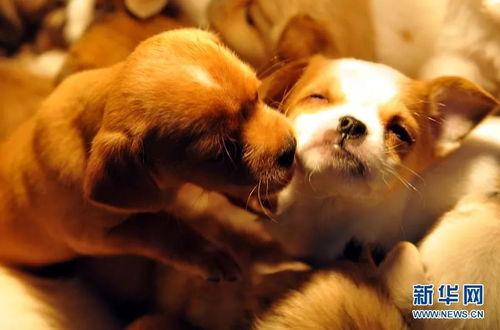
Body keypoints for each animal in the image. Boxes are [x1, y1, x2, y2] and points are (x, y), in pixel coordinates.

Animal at [0, 27, 296, 282]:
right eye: (223, 150)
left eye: (256, 94)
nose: (290, 150)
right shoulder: (98, 236)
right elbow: (164, 229)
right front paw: (211, 256)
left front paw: (258, 198)